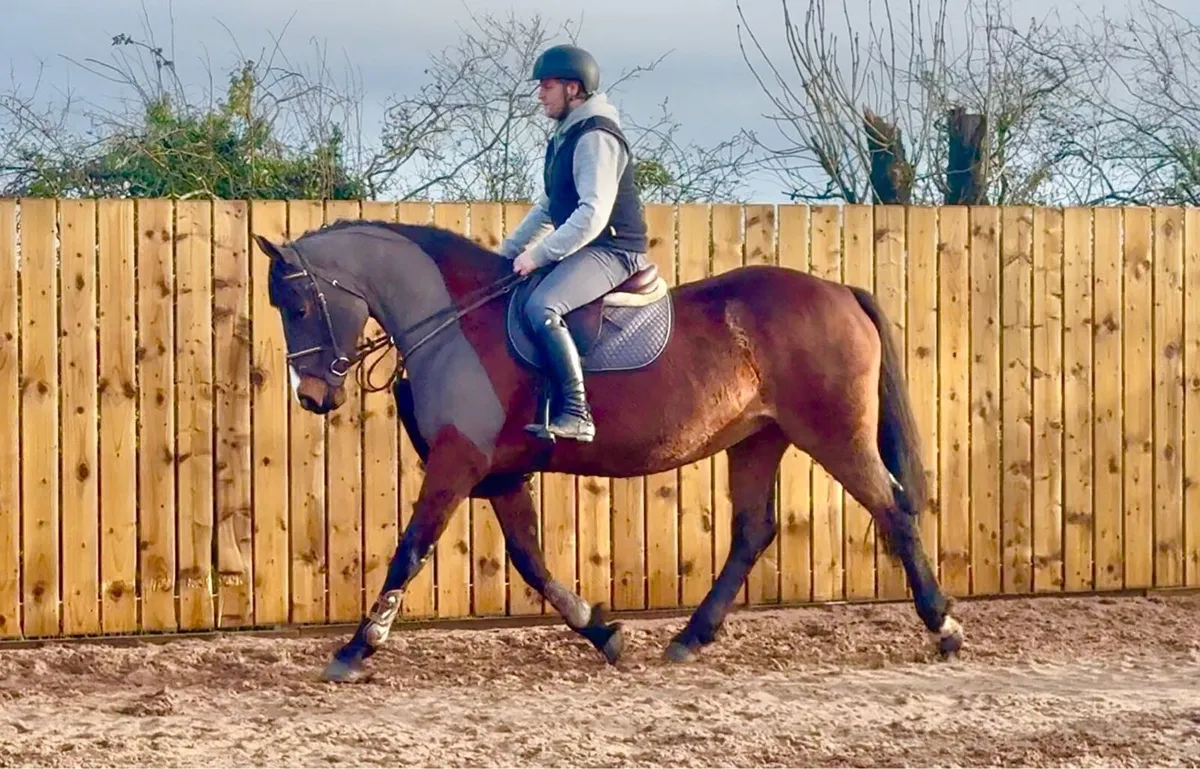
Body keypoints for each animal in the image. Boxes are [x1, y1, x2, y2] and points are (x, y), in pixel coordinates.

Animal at [251, 216, 964, 683]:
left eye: (298, 304)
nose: (312, 395)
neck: (456, 322)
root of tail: (841, 292)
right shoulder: (500, 475)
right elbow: (530, 560)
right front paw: (602, 631)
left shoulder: (458, 464)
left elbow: (411, 548)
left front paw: (356, 648)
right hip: (758, 440)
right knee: (752, 530)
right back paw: (690, 638)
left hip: (834, 435)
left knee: (892, 510)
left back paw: (944, 627)